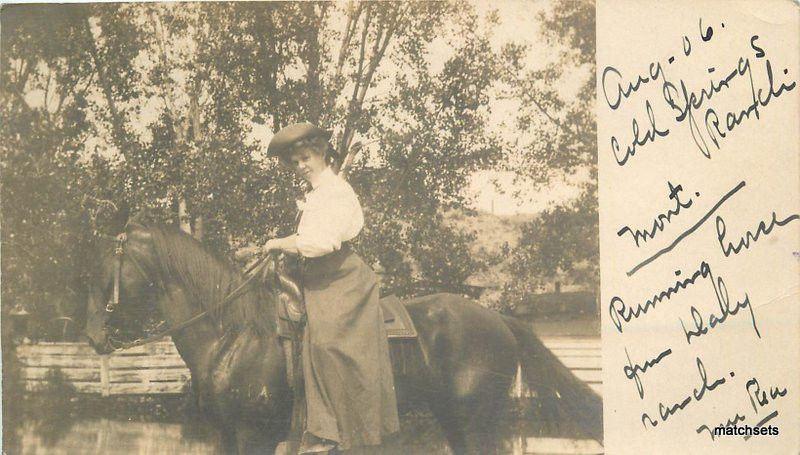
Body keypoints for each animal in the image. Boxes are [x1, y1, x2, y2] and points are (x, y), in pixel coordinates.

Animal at [86, 223, 600, 454]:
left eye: (106, 270)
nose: (92, 335)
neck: (234, 332)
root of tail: (498, 318)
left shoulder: (257, 433)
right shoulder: (227, 434)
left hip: (476, 421)